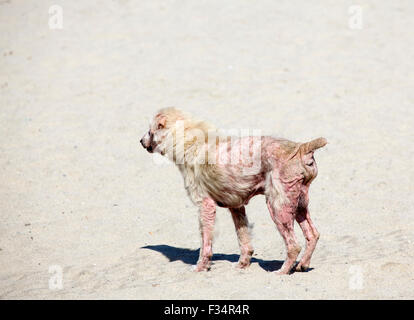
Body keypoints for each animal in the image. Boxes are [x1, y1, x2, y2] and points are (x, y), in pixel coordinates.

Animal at [141, 108, 328, 276]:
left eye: (150, 131)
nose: (141, 141)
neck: (189, 141)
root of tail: (301, 148)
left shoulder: (205, 207)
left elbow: (205, 244)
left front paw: (201, 267)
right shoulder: (236, 207)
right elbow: (244, 240)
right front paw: (242, 265)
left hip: (278, 208)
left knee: (293, 245)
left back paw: (282, 271)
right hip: (299, 204)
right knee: (312, 235)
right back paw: (303, 265)